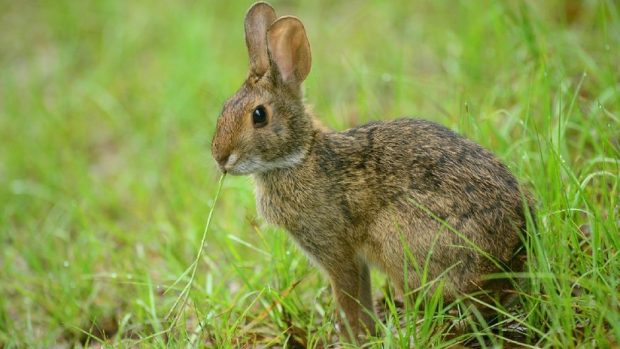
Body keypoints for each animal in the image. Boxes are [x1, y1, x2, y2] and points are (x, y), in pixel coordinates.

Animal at [211, 0, 536, 338]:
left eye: (259, 115)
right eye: (225, 107)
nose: (220, 158)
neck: (300, 155)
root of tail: (511, 255)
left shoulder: (336, 249)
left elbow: (347, 294)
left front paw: (352, 337)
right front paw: (366, 334)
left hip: (401, 242)